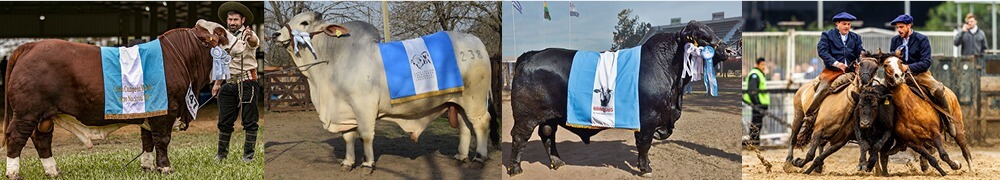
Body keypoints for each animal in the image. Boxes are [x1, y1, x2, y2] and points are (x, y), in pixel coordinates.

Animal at [2, 19, 235, 179]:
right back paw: (14, 173)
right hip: (26, 113)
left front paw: (147, 166)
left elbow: (147, 140)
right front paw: (165, 167)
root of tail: (30, 46)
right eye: (221, 33)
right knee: (16, 137)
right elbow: (162, 140)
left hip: (44, 117)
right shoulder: (166, 111)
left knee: (42, 139)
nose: (240, 39)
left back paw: (52, 171)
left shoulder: (151, 110)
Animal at [272, 11, 494, 169]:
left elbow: (366, 135)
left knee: (481, 123)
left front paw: (367, 163)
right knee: (466, 126)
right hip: (459, 100)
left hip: (474, 99)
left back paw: (479, 158)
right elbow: (348, 137)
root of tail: (477, 43)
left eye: (304, 22)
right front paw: (347, 162)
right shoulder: (345, 110)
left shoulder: (364, 106)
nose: (275, 34)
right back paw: (461, 156)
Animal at [508, 20, 736, 176]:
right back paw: (515, 169)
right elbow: (644, 144)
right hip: (525, 117)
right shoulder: (648, 118)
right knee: (519, 137)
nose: (730, 50)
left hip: (550, 116)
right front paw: (645, 168)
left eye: (713, 32)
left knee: (547, 135)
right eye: (703, 37)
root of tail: (531, 55)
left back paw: (557, 162)